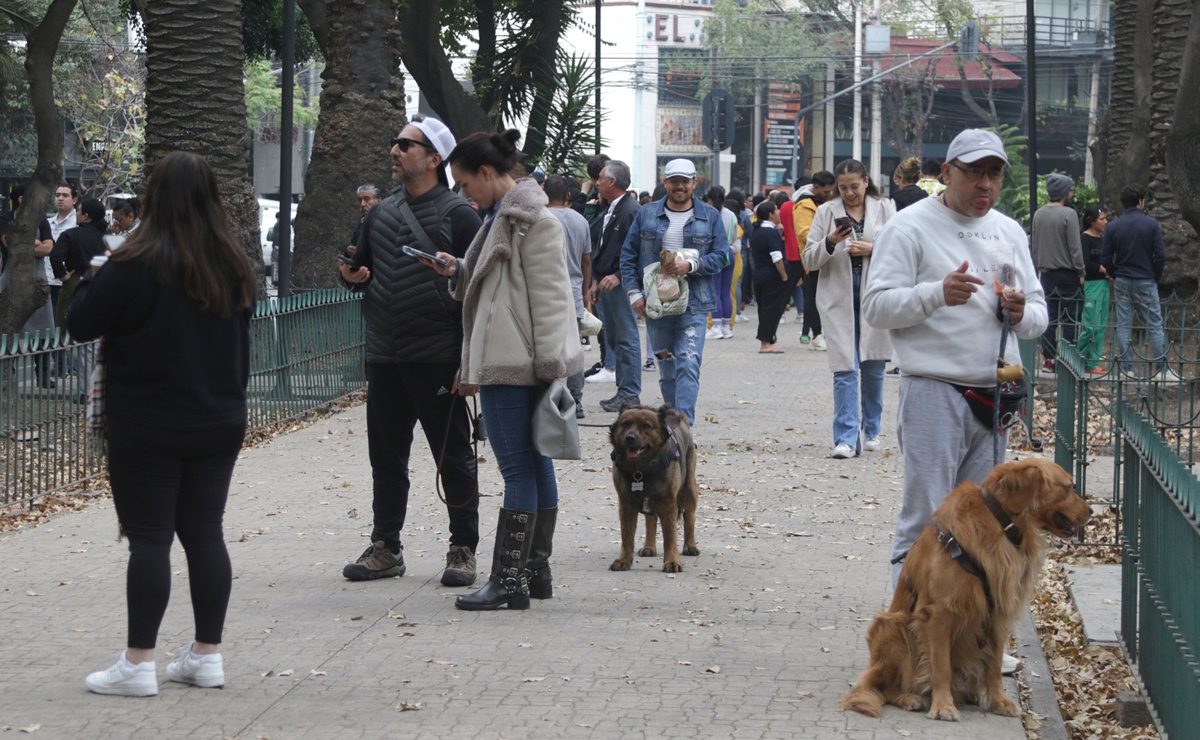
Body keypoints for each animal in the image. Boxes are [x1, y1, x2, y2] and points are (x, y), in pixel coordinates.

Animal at [604, 402, 700, 570]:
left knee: (690, 517)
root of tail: (675, 415)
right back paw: (649, 547)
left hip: (688, 489)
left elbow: (670, 537)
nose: (630, 437)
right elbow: (627, 536)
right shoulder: (626, 503)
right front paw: (623, 560)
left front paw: (672, 561)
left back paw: (690, 546)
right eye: (625, 424)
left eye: (646, 426)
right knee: (651, 519)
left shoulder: (668, 503)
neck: (640, 470)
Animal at [840, 455, 1094, 719]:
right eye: (1069, 487)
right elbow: (941, 666)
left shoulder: (997, 614)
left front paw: (999, 701)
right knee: (883, 687)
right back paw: (909, 697)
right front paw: (943, 705)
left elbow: (993, 667)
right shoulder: (939, 613)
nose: (1092, 510)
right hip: (892, 624)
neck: (1001, 525)